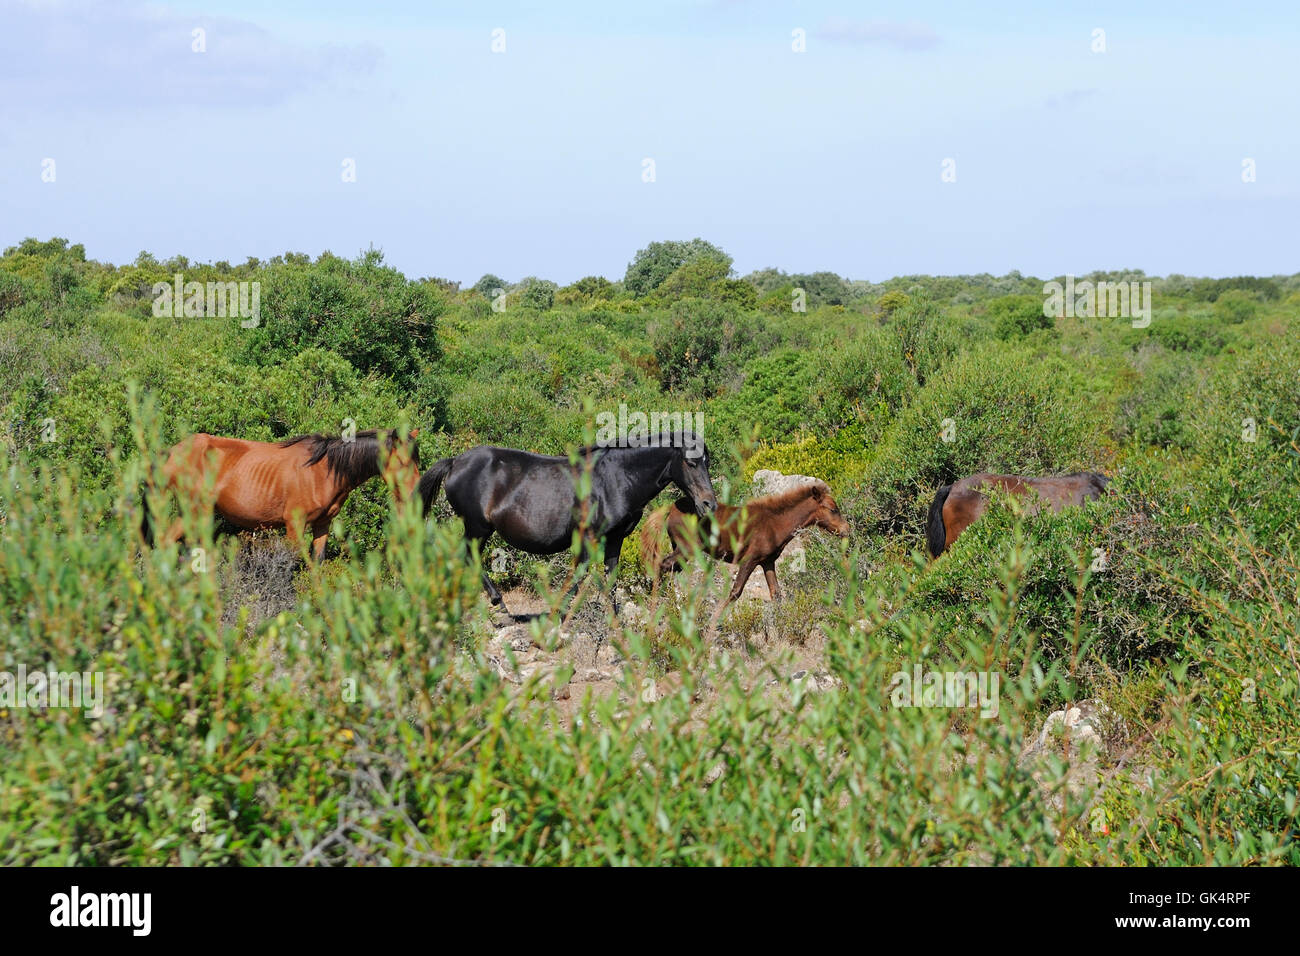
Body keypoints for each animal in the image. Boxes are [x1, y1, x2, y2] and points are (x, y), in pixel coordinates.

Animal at [144, 429, 423, 561]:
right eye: (403, 461)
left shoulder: (322, 524)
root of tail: (172, 452)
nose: (415, 495)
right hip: (196, 511)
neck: (324, 469)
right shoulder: (294, 525)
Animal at [418, 434, 717, 613]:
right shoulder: (587, 539)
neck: (615, 479)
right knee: (468, 557)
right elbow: (577, 577)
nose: (709, 504)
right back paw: (497, 602)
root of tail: (455, 462)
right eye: (690, 462)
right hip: (477, 528)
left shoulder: (615, 539)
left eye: (707, 461)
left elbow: (610, 579)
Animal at [642, 478, 852, 629]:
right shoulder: (750, 559)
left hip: (679, 548)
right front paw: (713, 624)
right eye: (833, 509)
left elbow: (776, 593)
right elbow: (735, 592)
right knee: (662, 565)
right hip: (686, 549)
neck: (774, 523)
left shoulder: (767, 562)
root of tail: (670, 508)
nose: (846, 530)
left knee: (670, 570)